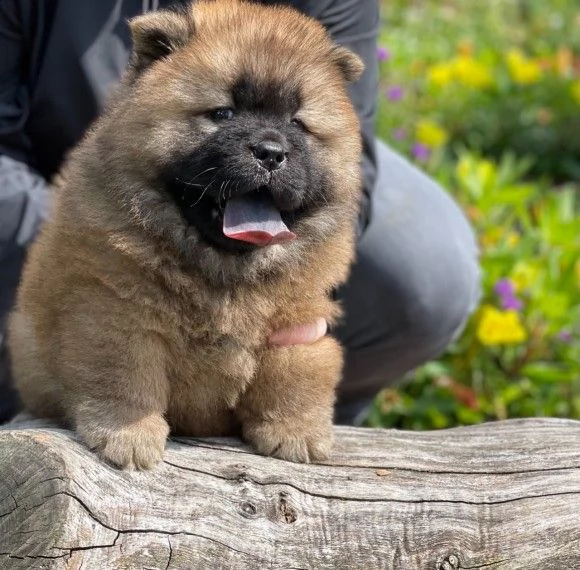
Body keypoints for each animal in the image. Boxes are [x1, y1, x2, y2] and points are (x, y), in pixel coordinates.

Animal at [7, 0, 362, 468]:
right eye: (223, 113)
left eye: (298, 124)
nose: (271, 152)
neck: (221, 271)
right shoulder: (116, 312)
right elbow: (124, 376)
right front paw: (129, 436)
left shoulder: (298, 320)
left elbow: (295, 372)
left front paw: (295, 432)